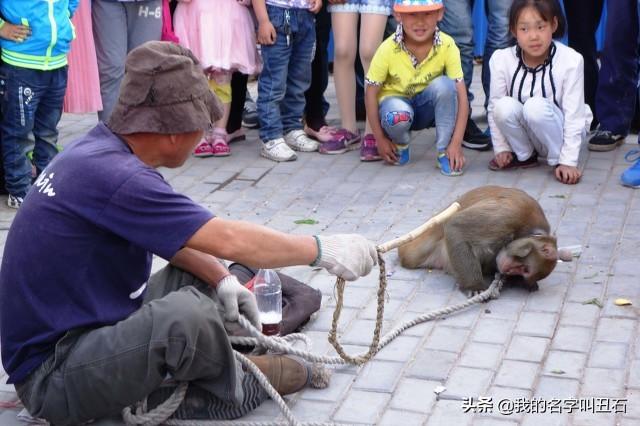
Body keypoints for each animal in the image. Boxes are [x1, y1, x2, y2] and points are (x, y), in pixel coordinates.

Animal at [398, 185, 556, 294]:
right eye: (523, 267)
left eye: (524, 271)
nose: (509, 270)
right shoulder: (510, 216)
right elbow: (456, 227)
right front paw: (474, 286)